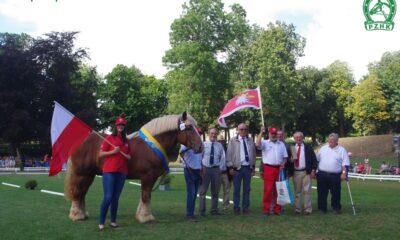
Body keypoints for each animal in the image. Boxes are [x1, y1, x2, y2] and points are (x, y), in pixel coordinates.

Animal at [65, 112, 203, 223]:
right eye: (189, 128)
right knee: (77, 192)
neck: (151, 146)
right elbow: (145, 195)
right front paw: (145, 217)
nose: (200, 147)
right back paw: (76, 215)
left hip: (89, 175)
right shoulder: (147, 176)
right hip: (81, 174)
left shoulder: (152, 178)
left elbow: (146, 196)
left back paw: (82, 214)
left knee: (82, 193)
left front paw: (141, 215)